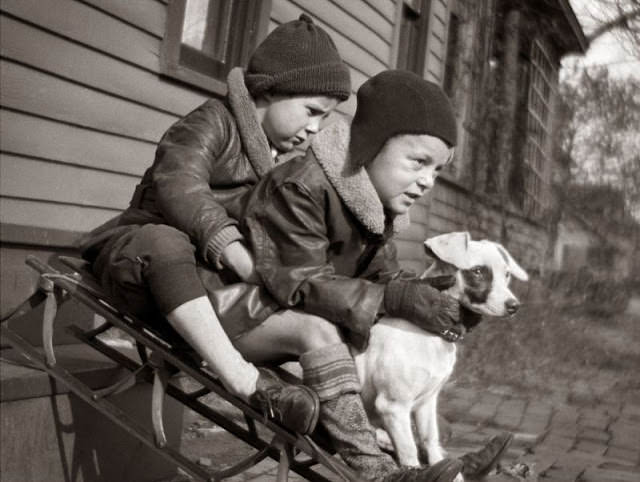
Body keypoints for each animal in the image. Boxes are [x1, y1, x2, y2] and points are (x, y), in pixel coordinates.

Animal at [352, 232, 528, 472]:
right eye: (478, 271)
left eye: (507, 274)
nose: (514, 306)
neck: (429, 333)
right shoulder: (393, 406)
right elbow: (409, 452)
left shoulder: (426, 403)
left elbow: (431, 442)